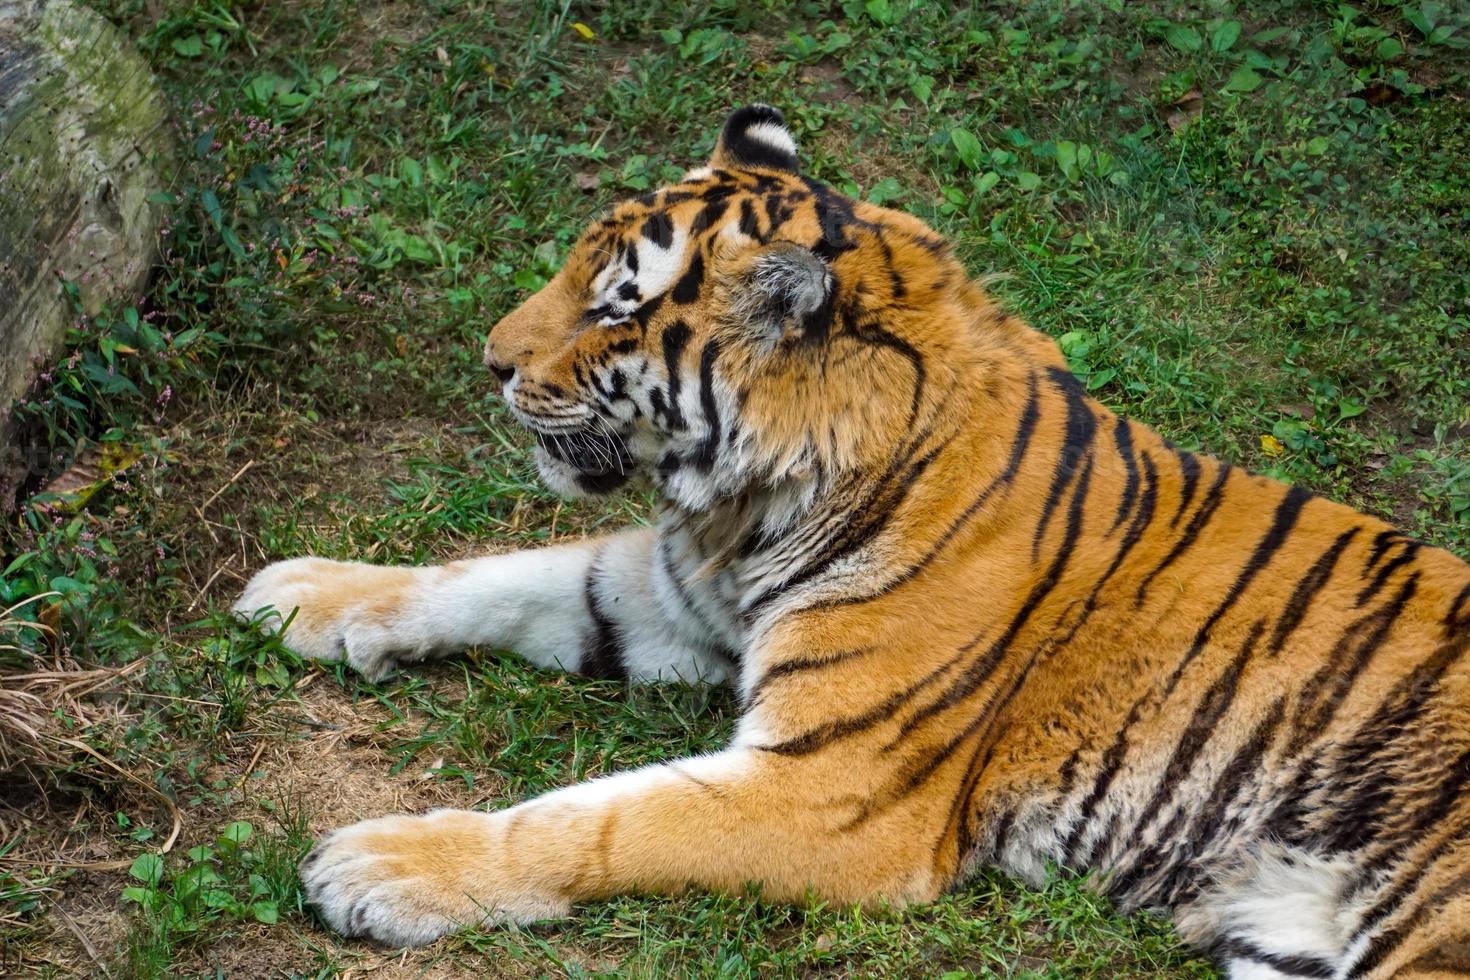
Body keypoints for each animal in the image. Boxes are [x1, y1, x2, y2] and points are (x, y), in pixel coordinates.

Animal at [235, 103, 1470, 975]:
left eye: (614, 307)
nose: (491, 360)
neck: (747, 511)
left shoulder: (830, 786)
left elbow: (592, 820)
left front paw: (380, 864)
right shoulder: (672, 597)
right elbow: (489, 577)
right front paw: (303, 593)